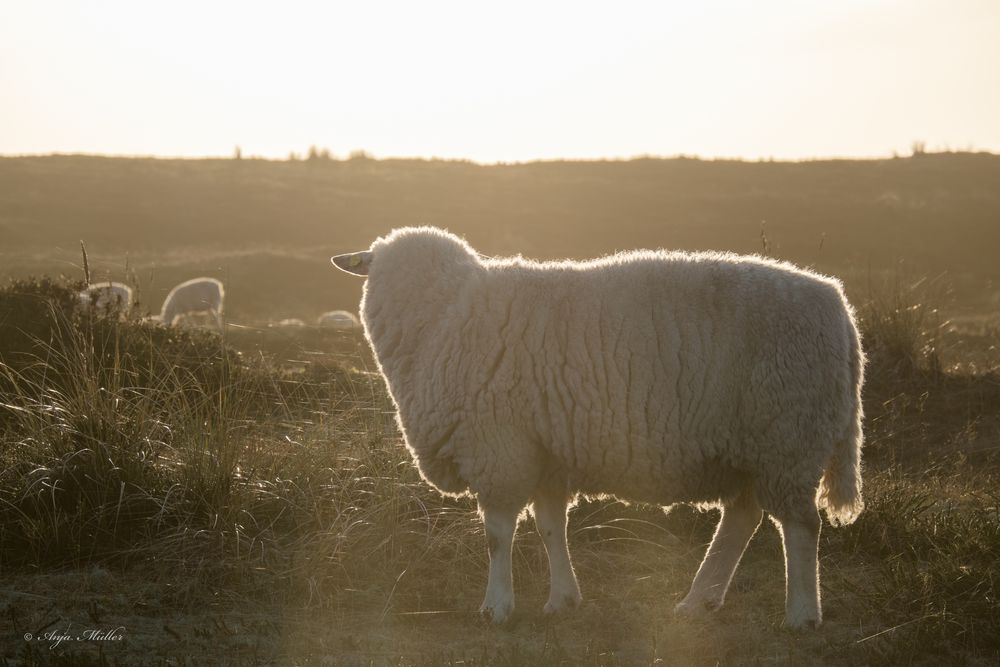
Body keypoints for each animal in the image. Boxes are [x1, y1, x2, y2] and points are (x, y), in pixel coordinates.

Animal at [332, 227, 864, 628]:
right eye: (377, 274)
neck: (443, 315)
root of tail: (841, 307)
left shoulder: (500, 448)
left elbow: (497, 535)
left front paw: (497, 607)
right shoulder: (544, 452)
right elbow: (551, 527)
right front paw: (562, 600)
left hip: (788, 436)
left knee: (800, 527)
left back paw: (801, 615)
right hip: (756, 448)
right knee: (742, 520)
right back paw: (698, 601)